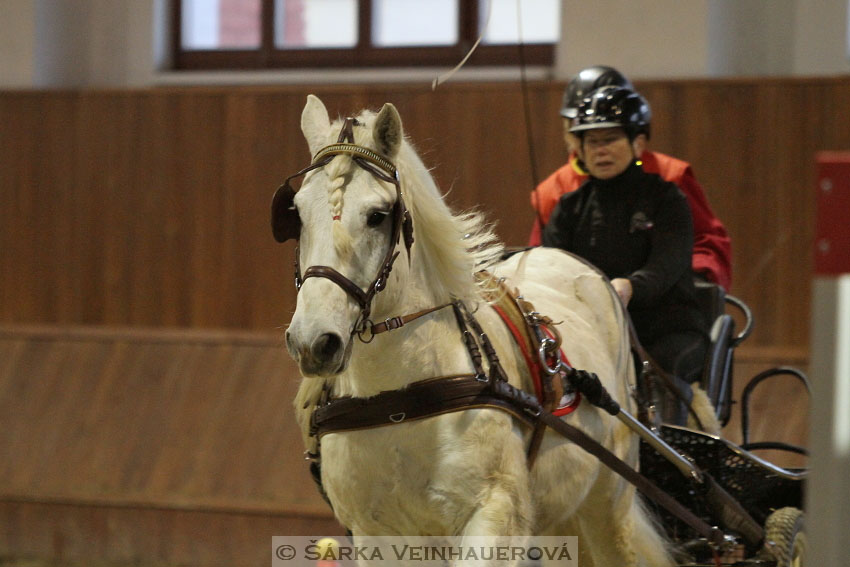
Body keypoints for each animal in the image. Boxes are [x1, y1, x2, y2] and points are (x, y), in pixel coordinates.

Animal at [284, 95, 676, 564]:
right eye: (296, 214)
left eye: (378, 215)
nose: (313, 342)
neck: (400, 398)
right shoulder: (376, 533)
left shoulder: (495, 512)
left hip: (608, 506)